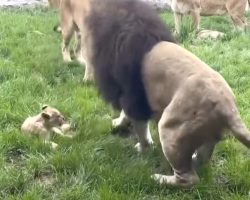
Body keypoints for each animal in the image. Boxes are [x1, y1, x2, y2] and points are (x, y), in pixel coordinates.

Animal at [84, 0, 250, 188]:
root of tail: (228, 109)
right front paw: (119, 123)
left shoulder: (132, 93)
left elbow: (139, 127)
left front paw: (143, 147)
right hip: (208, 137)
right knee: (202, 159)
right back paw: (193, 159)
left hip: (170, 130)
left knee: (188, 179)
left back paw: (158, 178)